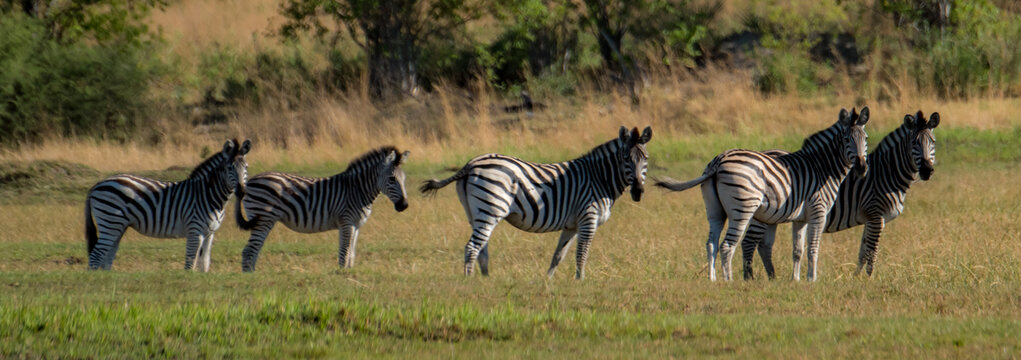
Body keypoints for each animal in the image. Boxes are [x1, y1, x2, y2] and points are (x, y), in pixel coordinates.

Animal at [84, 138, 251, 271]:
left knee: (107, 256)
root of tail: (97, 185)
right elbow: (190, 263)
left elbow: (204, 263)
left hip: (117, 226)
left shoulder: (210, 234)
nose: (242, 191)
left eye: (246, 167)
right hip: (110, 221)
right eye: (230, 168)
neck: (209, 195)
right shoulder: (195, 231)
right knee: (95, 256)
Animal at [234, 144, 410, 271]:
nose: (404, 205)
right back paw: (250, 278)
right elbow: (345, 252)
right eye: (392, 178)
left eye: (404, 179)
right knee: (249, 251)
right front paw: (342, 275)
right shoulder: (346, 222)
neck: (357, 190)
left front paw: (349, 273)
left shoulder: (356, 225)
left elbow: (351, 254)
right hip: (264, 218)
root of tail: (248, 182)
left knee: (253, 250)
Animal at [420, 124, 653, 279]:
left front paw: (548, 281)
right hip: (491, 208)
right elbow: (582, 253)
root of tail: (471, 163)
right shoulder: (588, 218)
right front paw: (580, 281)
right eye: (625, 158)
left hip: (474, 212)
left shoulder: (572, 224)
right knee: (471, 247)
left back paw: (485, 280)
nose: (638, 191)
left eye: (646, 159)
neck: (599, 178)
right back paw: (469, 282)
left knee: (481, 249)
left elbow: (559, 255)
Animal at [653, 106, 869, 281]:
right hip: (743, 207)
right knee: (727, 246)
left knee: (711, 244)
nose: (861, 167)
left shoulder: (801, 218)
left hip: (715, 210)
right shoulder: (818, 211)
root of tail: (718, 160)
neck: (823, 167)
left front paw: (796, 279)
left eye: (865, 139)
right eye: (846, 139)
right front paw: (811, 279)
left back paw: (713, 280)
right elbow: (813, 248)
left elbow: (798, 250)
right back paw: (728, 281)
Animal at [743, 110, 939, 279]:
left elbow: (863, 251)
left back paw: (772, 277)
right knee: (749, 242)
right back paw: (750, 278)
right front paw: (869, 279)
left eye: (933, 142)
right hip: (761, 214)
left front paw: (857, 278)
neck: (886, 173)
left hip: (771, 217)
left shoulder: (870, 219)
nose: (927, 171)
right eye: (914, 143)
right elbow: (872, 251)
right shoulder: (876, 214)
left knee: (763, 246)